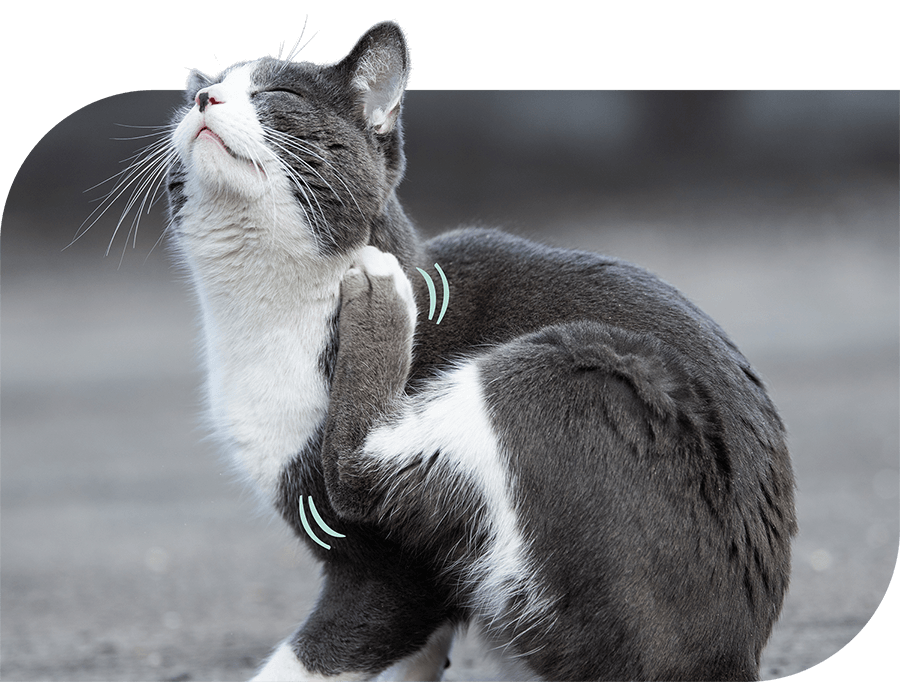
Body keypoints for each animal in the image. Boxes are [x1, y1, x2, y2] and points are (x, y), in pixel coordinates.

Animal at [118, 18, 796, 680]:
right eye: (196, 96)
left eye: (276, 94)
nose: (204, 99)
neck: (265, 318)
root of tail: (735, 652)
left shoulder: (392, 576)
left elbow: (319, 651)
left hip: (576, 369)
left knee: (359, 468)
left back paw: (382, 295)